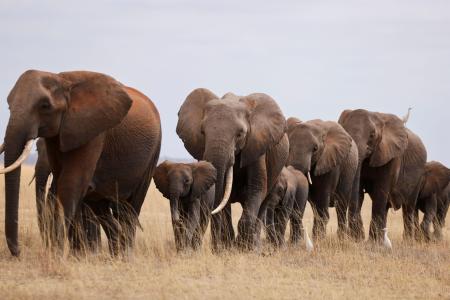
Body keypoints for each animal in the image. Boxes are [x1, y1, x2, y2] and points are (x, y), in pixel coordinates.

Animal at [177, 88, 288, 251]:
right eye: (202, 132)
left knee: (263, 203)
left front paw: (244, 248)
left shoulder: (256, 145)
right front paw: (225, 249)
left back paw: (255, 246)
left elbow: (256, 188)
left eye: (240, 134)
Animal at [340, 109, 428, 243]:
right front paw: (359, 240)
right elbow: (359, 193)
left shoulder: (390, 155)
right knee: (387, 206)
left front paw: (371, 243)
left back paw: (407, 241)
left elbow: (380, 191)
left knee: (409, 207)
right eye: (346, 132)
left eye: (372, 135)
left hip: (419, 176)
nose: (354, 236)